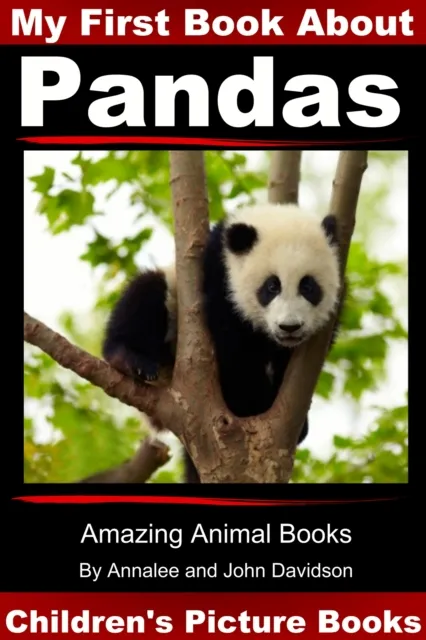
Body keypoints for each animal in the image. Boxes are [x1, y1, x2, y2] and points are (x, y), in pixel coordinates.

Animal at [102, 203, 343, 483]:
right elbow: (233, 351)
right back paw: (130, 359)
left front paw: (295, 421)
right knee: (145, 293)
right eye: (272, 286)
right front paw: (249, 405)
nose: (290, 327)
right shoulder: (218, 278)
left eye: (308, 286)